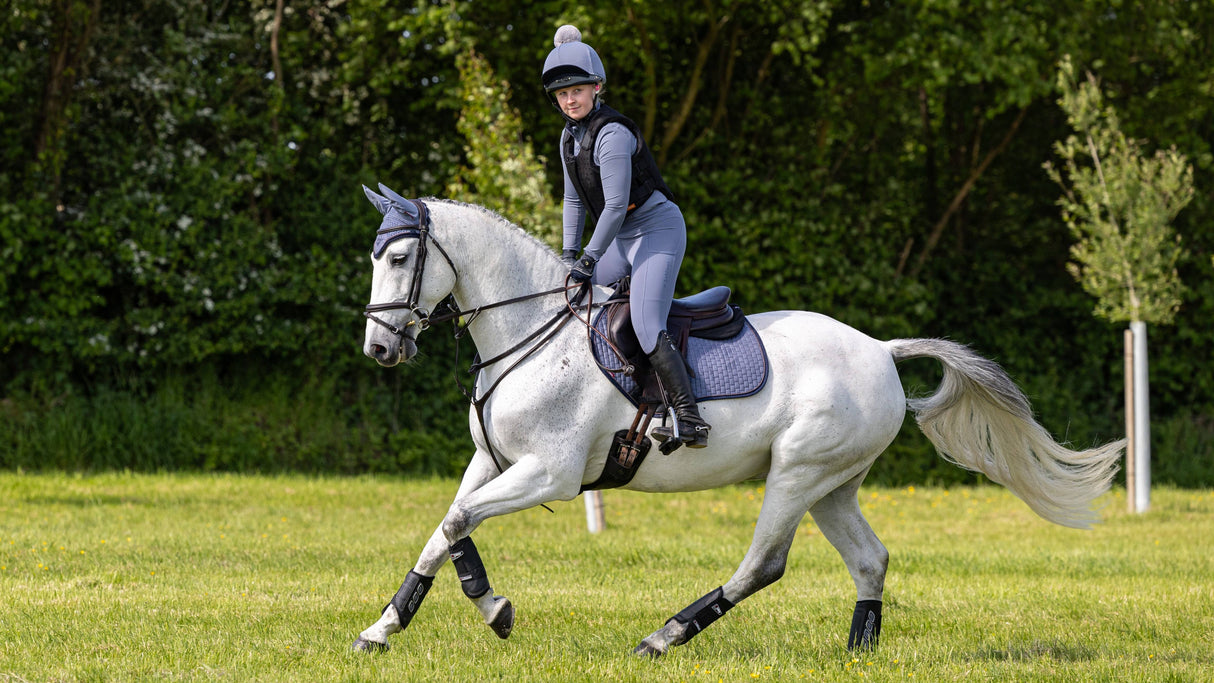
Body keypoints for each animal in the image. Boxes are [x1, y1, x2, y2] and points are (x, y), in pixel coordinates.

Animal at [349, 185, 1116, 655]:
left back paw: (663, 637)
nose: (380, 349)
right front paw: (386, 626)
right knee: (870, 559)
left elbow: (457, 525)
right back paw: (857, 649)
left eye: (399, 257)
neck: (531, 330)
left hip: (798, 473)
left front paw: (490, 608)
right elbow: (443, 531)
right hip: (833, 484)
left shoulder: (551, 473)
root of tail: (881, 349)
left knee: (762, 565)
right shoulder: (494, 461)